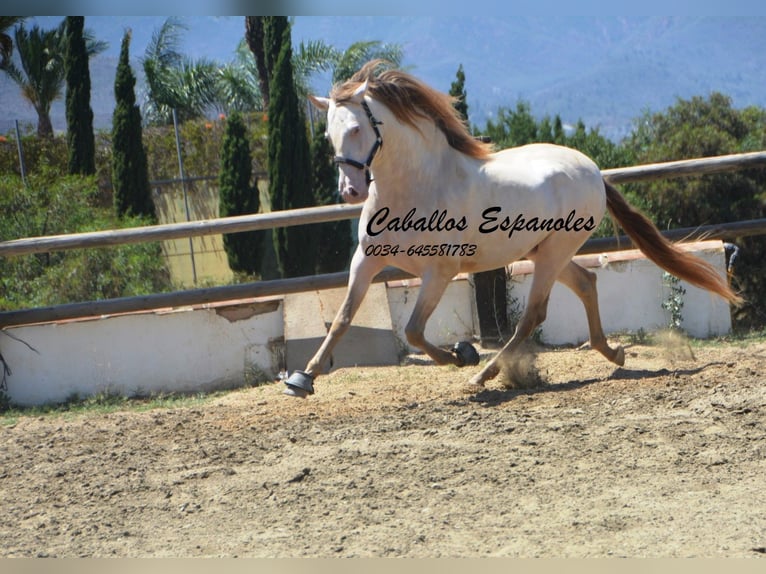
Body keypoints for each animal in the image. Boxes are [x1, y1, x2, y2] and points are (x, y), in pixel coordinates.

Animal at [284, 60, 740, 398]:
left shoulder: (440, 272)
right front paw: (303, 379)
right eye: (328, 134)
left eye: (357, 128)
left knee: (534, 314)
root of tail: (592, 169)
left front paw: (461, 354)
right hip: (544, 252)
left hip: (552, 254)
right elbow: (343, 318)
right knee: (587, 282)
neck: (417, 185)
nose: (350, 191)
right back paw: (613, 354)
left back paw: (483, 374)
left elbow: (413, 329)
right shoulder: (366, 260)